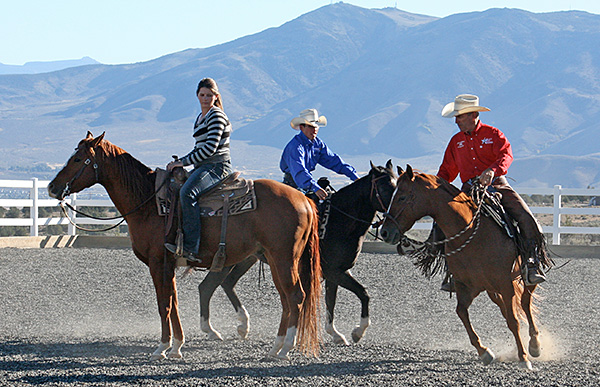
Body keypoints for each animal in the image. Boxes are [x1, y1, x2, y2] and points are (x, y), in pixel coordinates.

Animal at [47, 133, 324, 360]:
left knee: (295, 296)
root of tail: (304, 200)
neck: (148, 201)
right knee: (286, 299)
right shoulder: (168, 264)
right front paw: (177, 345)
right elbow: (174, 302)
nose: (52, 187)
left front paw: (162, 348)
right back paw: (275, 346)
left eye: (78, 158)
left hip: (284, 257)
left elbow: (164, 304)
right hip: (275, 259)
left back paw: (285, 348)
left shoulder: (158, 262)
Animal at [195, 160, 396, 346]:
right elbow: (361, 293)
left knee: (226, 284)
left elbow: (337, 300)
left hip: (246, 258)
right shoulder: (334, 271)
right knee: (208, 287)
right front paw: (357, 332)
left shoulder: (338, 272)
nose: (392, 220)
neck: (339, 220)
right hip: (228, 259)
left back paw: (242, 326)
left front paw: (337, 334)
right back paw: (212, 330)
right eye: (385, 186)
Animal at [382, 166, 548, 370]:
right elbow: (461, 312)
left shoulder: (505, 284)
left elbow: (514, 321)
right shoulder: (465, 286)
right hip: (492, 290)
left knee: (525, 302)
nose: (384, 232)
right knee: (507, 308)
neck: (472, 235)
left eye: (402, 197)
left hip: (525, 277)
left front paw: (524, 358)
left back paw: (535, 344)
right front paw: (484, 352)